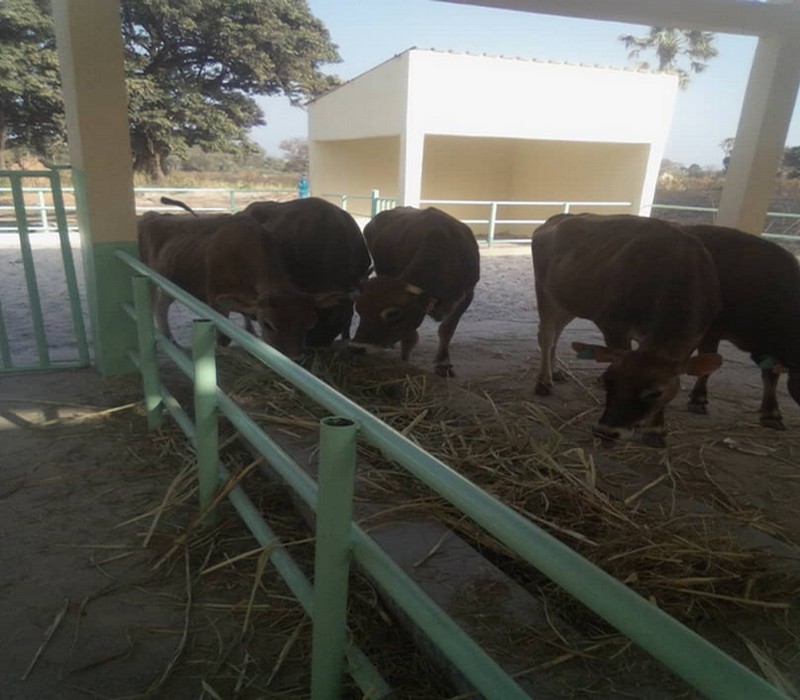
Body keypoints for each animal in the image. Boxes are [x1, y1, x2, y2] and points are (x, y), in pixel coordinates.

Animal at [350, 206, 480, 377]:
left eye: (393, 314)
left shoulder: (466, 297)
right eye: (359, 310)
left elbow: (446, 330)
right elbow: (411, 336)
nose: (357, 348)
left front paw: (443, 363)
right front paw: (405, 358)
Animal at [531, 213, 723, 447]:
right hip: (545, 291)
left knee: (557, 333)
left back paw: (556, 371)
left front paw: (655, 430)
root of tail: (555, 218)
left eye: (655, 393)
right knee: (546, 335)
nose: (606, 432)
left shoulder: (691, 341)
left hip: (569, 301)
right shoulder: (613, 326)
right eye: (607, 381)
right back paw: (544, 381)